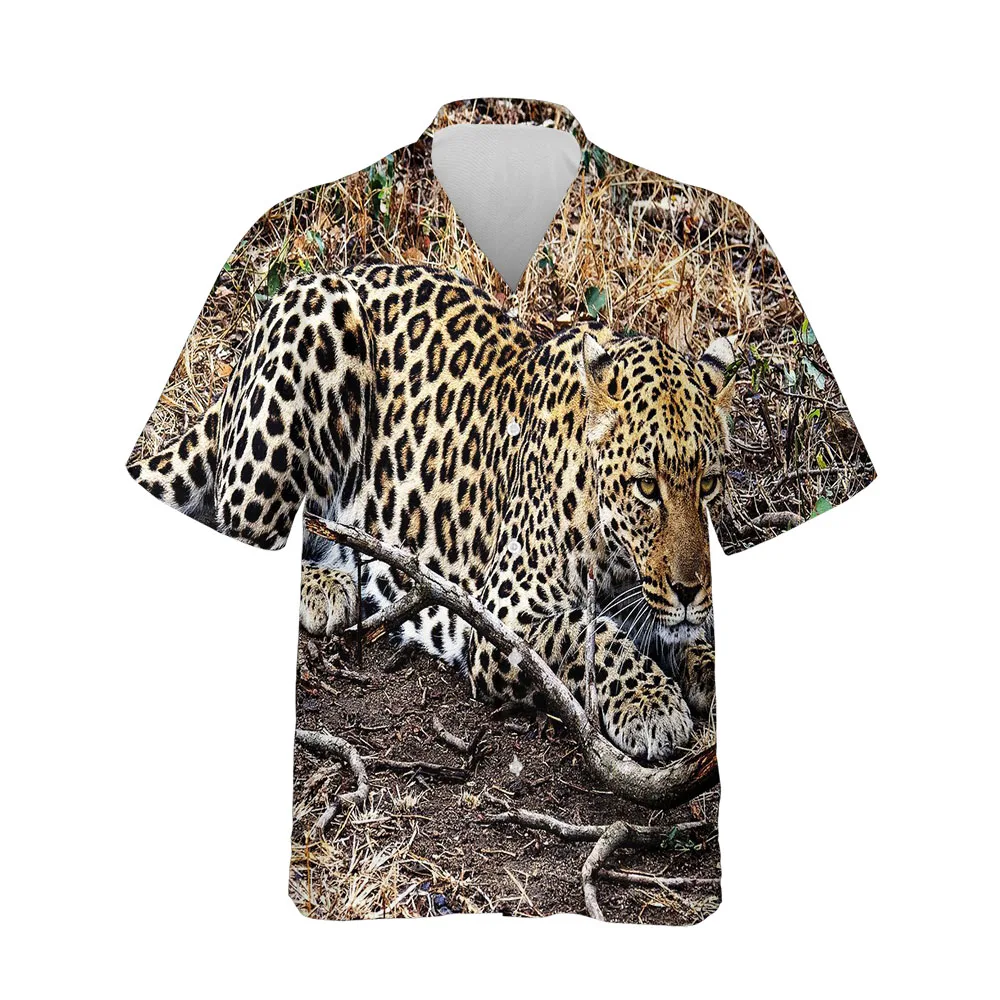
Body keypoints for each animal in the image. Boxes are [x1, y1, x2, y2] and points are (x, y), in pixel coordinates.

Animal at [128, 263, 735, 762]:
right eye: (647, 487)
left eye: (708, 483)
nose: (690, 589)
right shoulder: (505, 616)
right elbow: (592, 634)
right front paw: (654, 705)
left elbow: (689, 631)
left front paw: (706, 665)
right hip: (320, 333)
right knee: (246, 540)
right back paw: (329, 588)